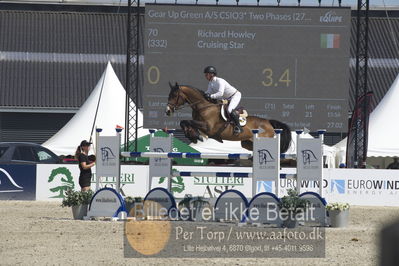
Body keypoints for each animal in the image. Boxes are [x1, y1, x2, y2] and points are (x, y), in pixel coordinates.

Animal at [164, 83, 292, 154]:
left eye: (174, 95)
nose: (168, 111)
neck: (203, 107)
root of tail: (268, 122)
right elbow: (184, 122)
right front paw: (194, 136)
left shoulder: (208, 127)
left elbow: (187, 121)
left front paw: (195, 136)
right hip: (246, 143)